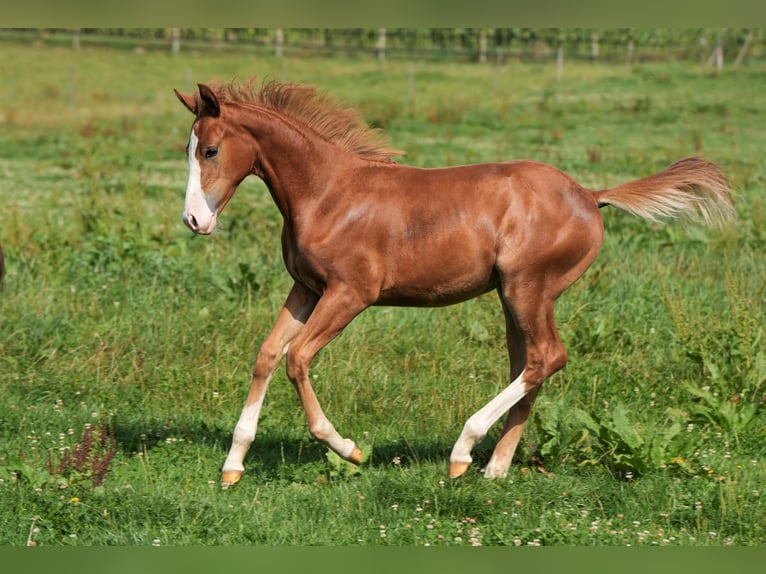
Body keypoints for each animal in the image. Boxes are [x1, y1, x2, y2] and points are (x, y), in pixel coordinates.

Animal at [176, 79, 736, 488]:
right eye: (188, 149)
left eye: (210, 150)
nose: (194, 221)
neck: (328, 194)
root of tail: (589, 194)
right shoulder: (306, 289)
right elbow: (267, 355)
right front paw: (233, 466)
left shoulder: (351, 293)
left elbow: (298, 360)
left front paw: (349, 449)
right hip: (514, 297)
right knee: (530, 363)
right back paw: (495, 467)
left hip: (528, 288)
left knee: (547, 357)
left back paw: (464, 450)